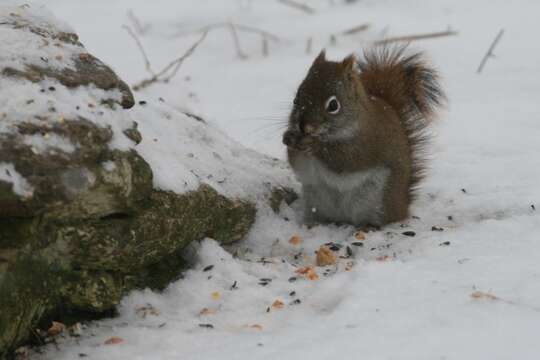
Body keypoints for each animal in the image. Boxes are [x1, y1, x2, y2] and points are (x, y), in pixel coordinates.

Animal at [282, 47, 442, 228]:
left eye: (333, 105)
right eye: (296, 98)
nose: (304, 126)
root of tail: (403, 206)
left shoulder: (365, 145)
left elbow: (345, 162)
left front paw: (313, 145)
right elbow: (299, 165)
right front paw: (289, 138)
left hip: (378, 200)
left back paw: (368, 227)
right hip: (315, 201)